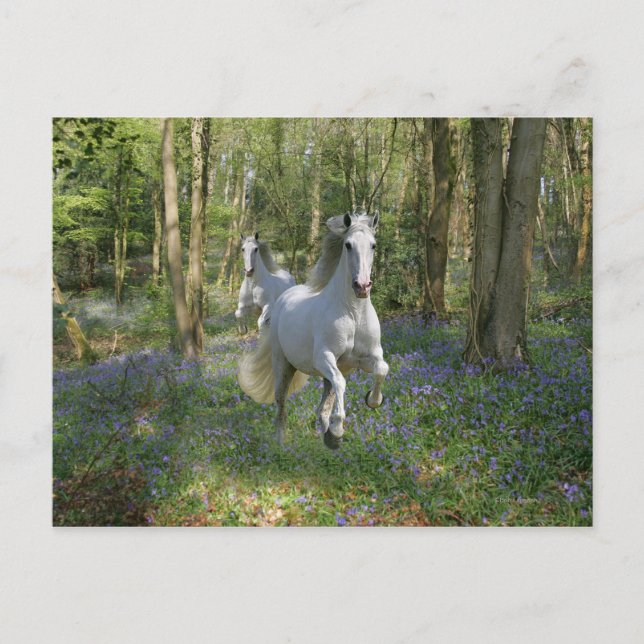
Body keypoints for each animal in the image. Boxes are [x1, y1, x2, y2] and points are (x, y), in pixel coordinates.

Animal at [238, 212, 388, 449]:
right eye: (348, 245)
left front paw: (373, 401)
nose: (362, 286)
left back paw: (326, 434)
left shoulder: (367, 358)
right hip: (283, 365)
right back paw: (282, 445)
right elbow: (341, 383)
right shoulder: (323, 357)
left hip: (325, 373)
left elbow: (382, 369)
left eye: (373, 245)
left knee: (323, 406)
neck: (353, 314)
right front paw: (337, 431)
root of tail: (285, 297)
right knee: (281, 404)